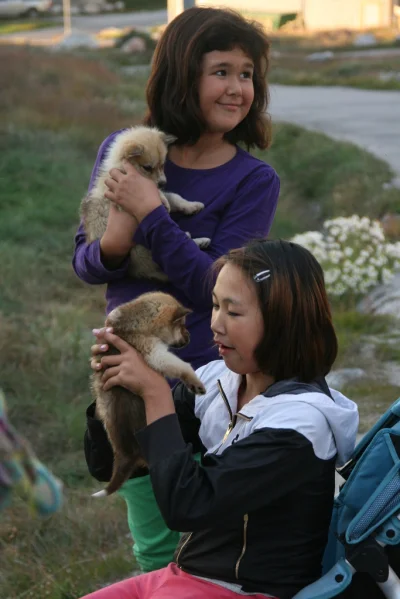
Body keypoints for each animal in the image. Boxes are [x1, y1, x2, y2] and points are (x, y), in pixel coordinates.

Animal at [80, 126, 211, 282]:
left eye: (162, 165)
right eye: (147, 168)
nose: (163, 183)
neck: (122, 168)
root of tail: (141, 272)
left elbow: (175, 197)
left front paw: (192, 206)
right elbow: (163, 196)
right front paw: (164, 201)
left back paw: (201, 240)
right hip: (140, 247)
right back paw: (191, 237)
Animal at [91, 292, 206, 496]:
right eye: (182, 325)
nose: (190, 337)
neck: (137, 318)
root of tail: (125, 456)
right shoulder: (154, 353)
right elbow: (182, 366)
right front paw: (195, 383)